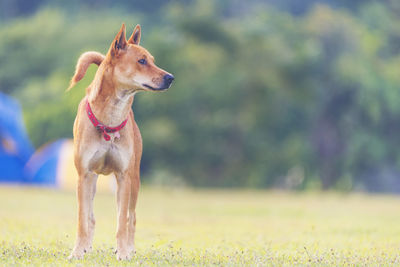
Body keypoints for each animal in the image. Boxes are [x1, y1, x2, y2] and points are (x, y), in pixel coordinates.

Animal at [67, 24, 173, 260]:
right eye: (142, 61)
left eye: (152, 60)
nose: (170, 77)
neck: (109, 120)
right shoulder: (84, 175)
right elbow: (82, 220)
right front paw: (78, 251)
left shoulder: (124, 176)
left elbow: (122, 221)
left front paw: (124, 252)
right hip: (93, 181)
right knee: (90, 217)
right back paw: (87, 246)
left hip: (134, 180)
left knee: (130, 217)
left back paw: (129, 247)